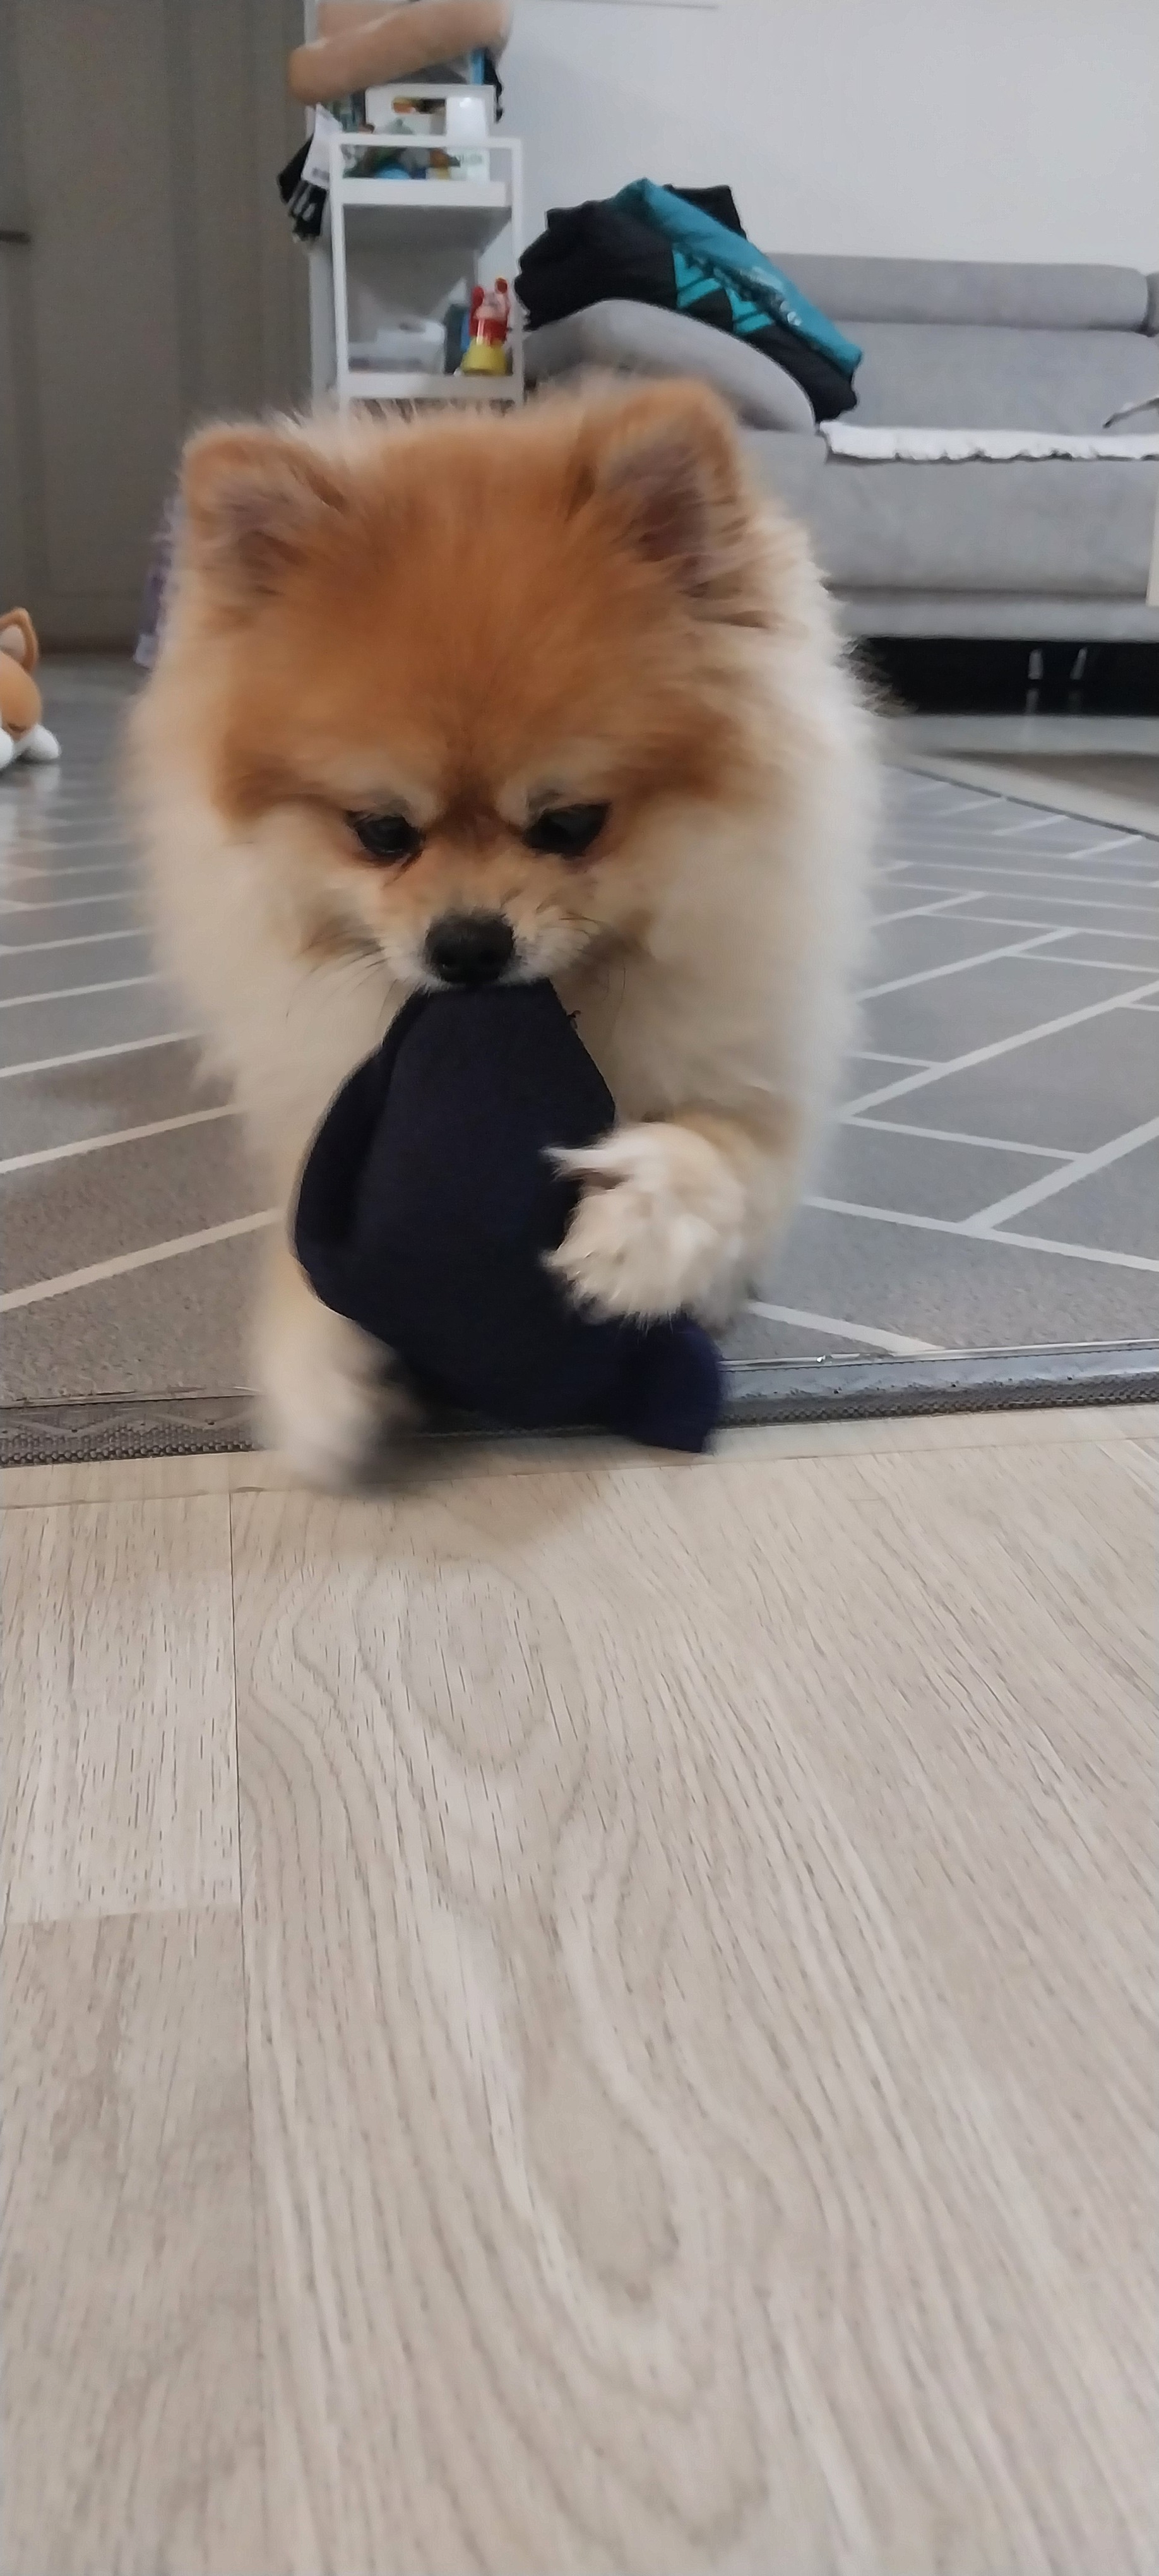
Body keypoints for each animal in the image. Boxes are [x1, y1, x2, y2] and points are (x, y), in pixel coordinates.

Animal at [131, 380, 876, 1481]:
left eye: (569, 824)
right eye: (382, 832)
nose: (468, 945)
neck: (580, 1004)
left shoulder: (761, 1094)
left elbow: (722, 1155)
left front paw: (641, 1221)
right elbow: (307, 1241)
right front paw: (317, 1364)